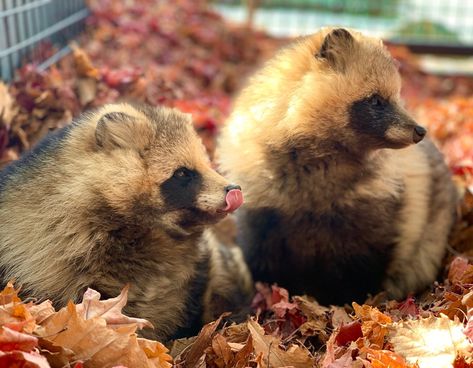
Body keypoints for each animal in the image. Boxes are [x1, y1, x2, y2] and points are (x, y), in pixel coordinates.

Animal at [218, 28, 458, 304]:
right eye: (376, 101)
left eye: (397, 97)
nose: (420, 130)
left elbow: (356, 276)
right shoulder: (263, 216)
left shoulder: (370, 225)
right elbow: (265, 265)